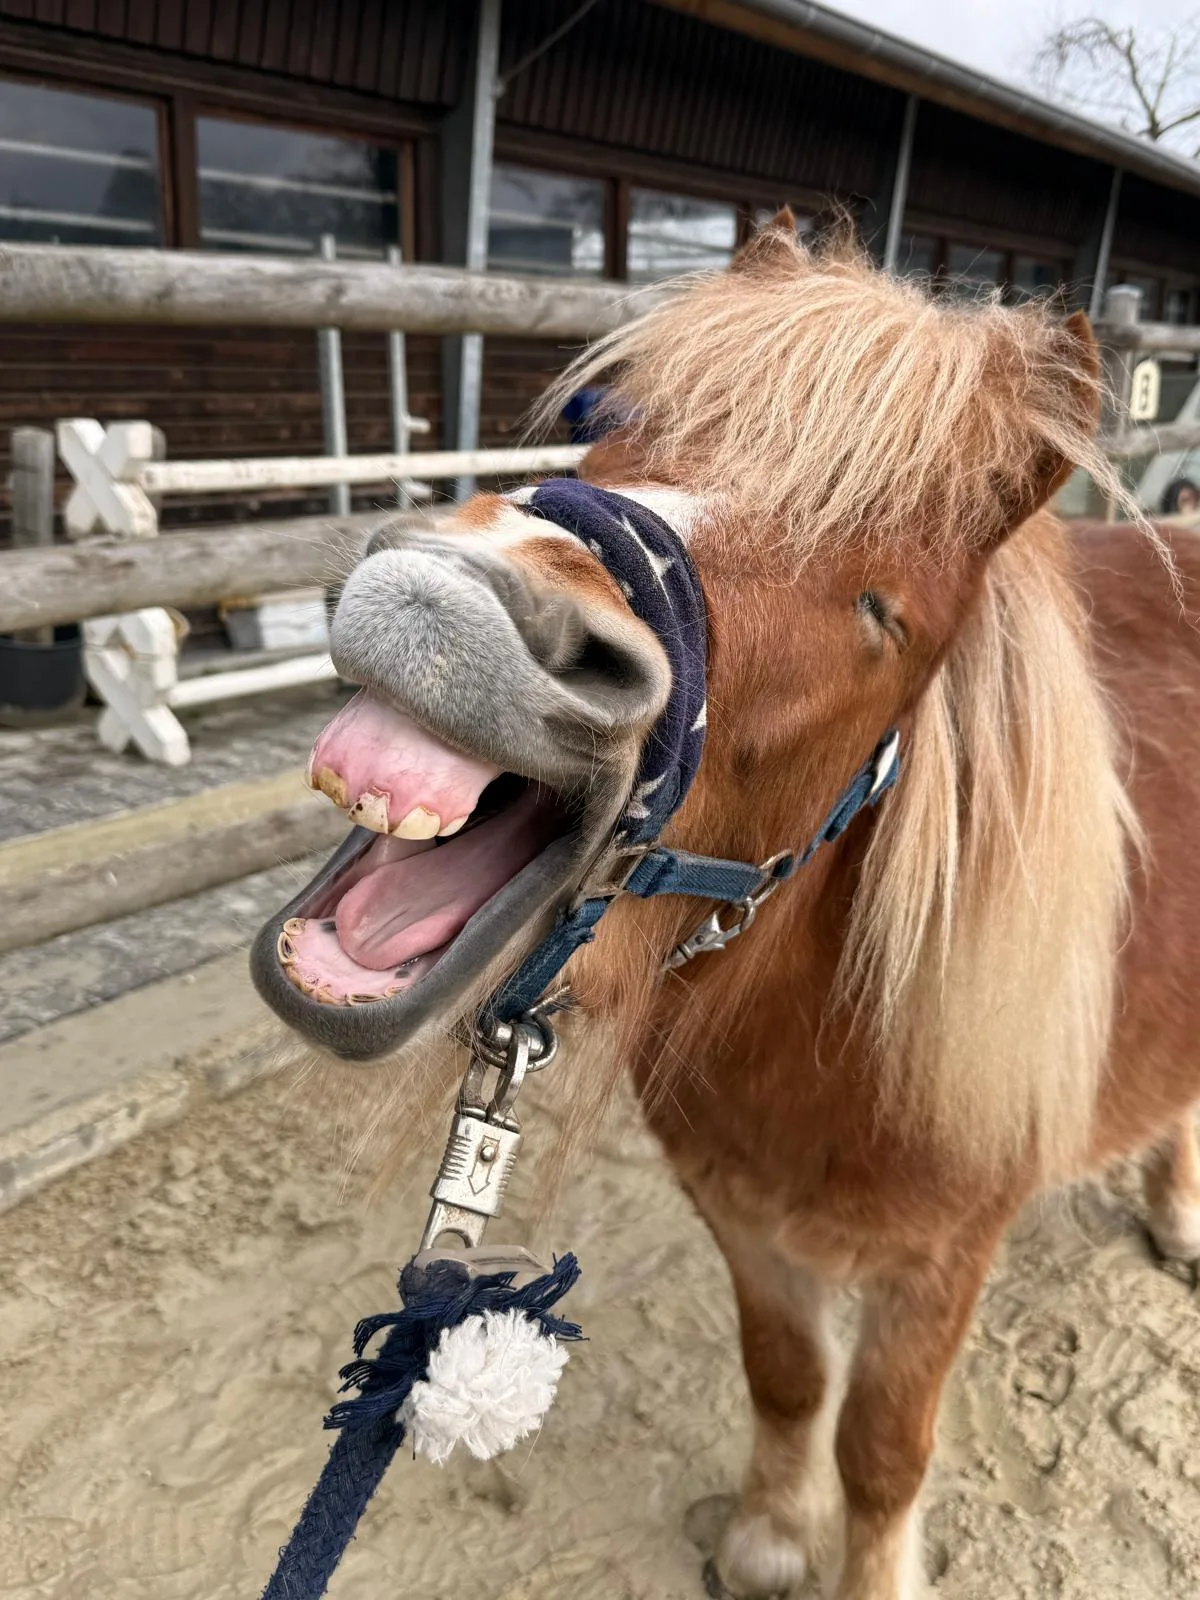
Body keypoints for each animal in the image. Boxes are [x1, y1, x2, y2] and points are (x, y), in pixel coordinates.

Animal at [252, 217, 1200, 1600]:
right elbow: (788, 1376)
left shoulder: (940, 1265)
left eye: (880, 611)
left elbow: (882, 1454)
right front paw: (766, 1539)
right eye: (605, 429)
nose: (455, 607)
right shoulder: (743, 1217)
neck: (830, 1039)